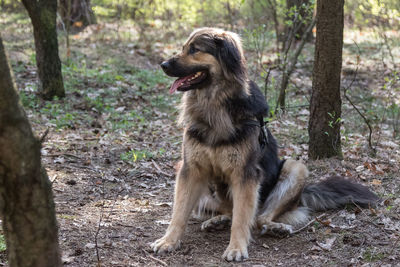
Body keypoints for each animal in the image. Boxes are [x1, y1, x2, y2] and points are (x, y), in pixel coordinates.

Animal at [150, 28, 378, 262]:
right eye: (184, 48)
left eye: (194, 49)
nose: (163, 65)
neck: (215, 106)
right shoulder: (190, 169)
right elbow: (179, 212)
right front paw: (169, 240)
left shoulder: (246, 174)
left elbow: (242, 217)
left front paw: (236, 247)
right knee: (228, 212)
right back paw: (217, 220)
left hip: (295, 168)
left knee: (260, 218)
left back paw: (276, 228)